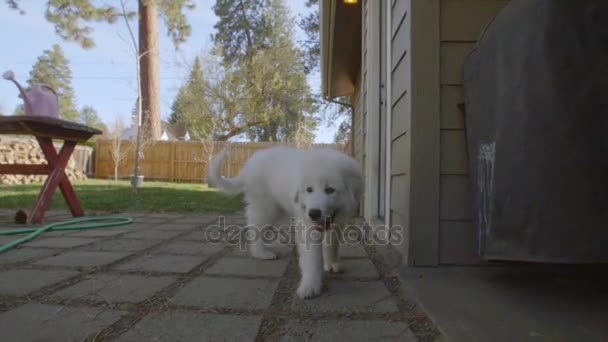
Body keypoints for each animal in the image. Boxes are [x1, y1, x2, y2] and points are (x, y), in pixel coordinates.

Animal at [207, 146, 364, 298]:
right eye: (309, 190)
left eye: (330, 190)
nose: (313, 213)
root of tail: (251, 163)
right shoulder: (307, 226)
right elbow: (312, 259)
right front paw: (310, 287)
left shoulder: (338, 222)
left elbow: (332, 245)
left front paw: (331, 263)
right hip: (265, 208)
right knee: (255, 229)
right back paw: (261, 253)